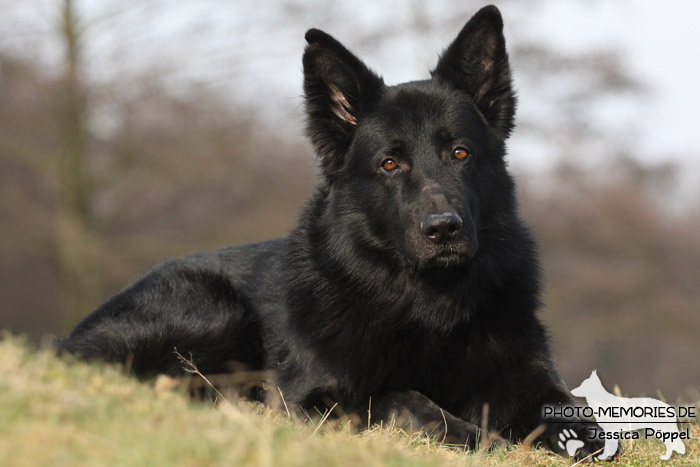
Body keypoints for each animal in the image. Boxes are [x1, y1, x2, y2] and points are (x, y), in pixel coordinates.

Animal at [58, 5, 608, 460]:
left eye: (460, 153)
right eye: (389, 163)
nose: (443, 229)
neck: (426, 305)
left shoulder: (533, 381)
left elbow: (577, 417)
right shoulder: (313, 399)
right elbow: (401, 399)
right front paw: (478, 436)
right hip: (211, 306)